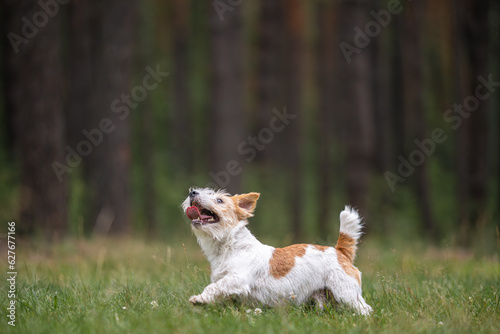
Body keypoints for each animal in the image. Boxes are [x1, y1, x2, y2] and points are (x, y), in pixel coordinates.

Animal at [182, 188, 374, 316]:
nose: (192, 192)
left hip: (346, 292)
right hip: (323, 296)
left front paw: (199, 299)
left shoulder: (237, 278)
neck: (229, 246)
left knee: (365, 309)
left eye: (220, 200)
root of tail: (339, 251)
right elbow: (220, 292)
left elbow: (214, 287)